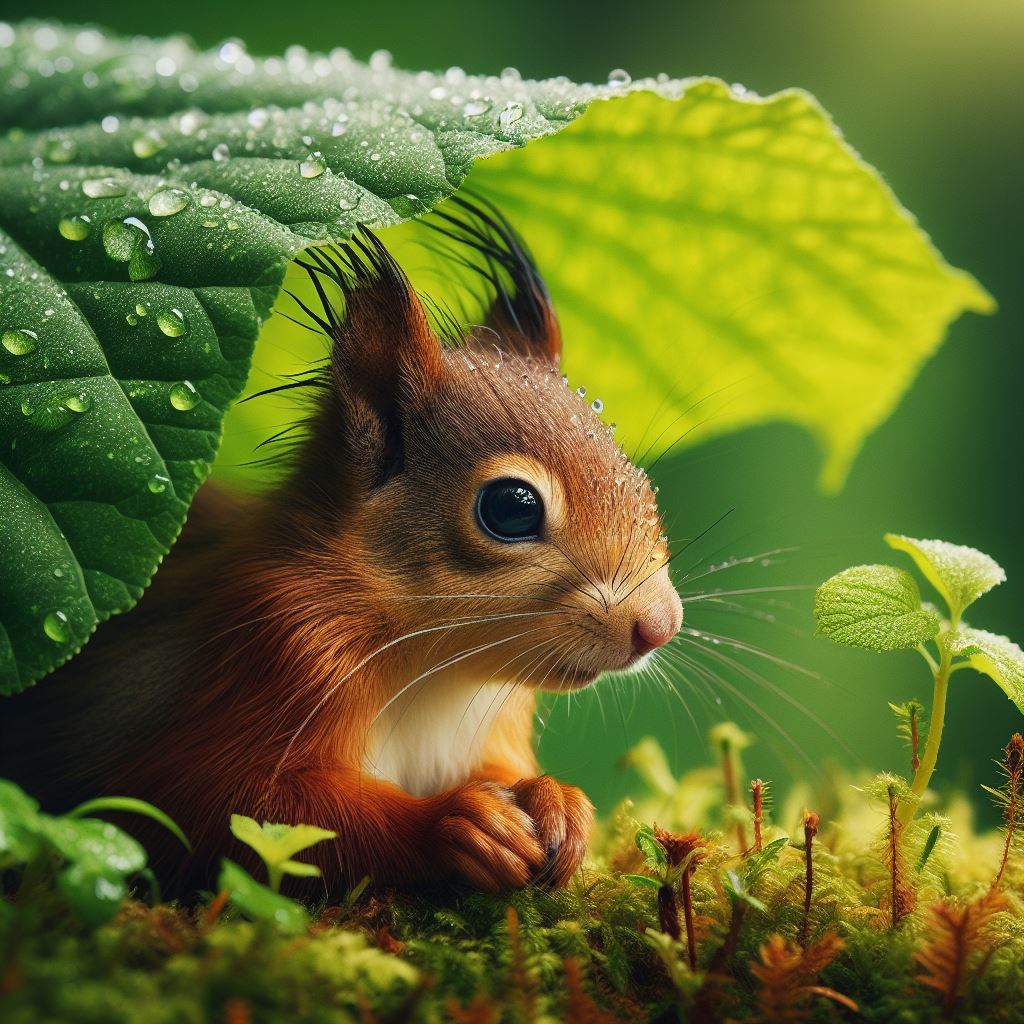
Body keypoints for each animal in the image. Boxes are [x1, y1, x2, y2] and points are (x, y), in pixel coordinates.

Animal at [0, 199, 682, 894]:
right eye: (512, 508)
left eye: (638, 478)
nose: (659, 625)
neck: (436, 671)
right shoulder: (272, 653)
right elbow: (223, 808)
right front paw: (456, 823)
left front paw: (557, 801)